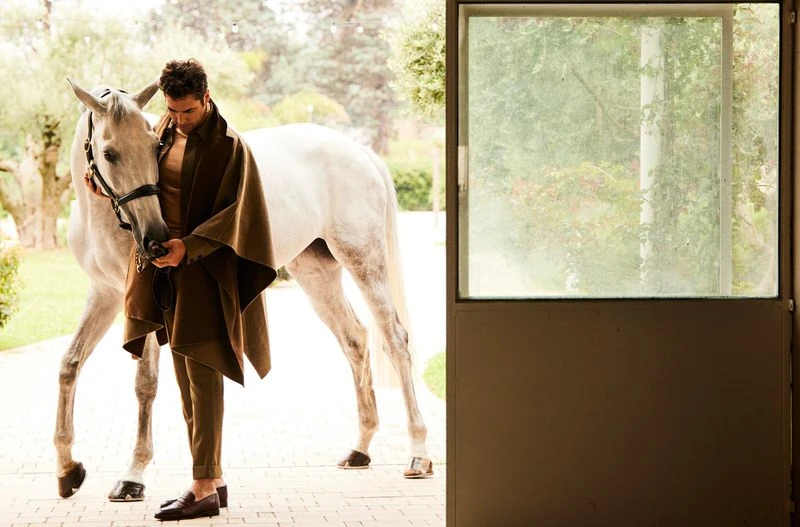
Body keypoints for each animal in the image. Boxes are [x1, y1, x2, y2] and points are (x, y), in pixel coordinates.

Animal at [54, 78, 433, 501]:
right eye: (110, 153)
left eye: (155, 146)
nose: (156, 239)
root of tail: (359, 151)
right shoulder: (104, 294)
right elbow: (69, 365)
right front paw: (68, 469)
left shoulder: (144, 302)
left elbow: (145, 385)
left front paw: (133, 474)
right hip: (316, 272)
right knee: (354, 338)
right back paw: (360, 448)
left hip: (364, 260)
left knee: (395, 339)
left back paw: (418, 452)